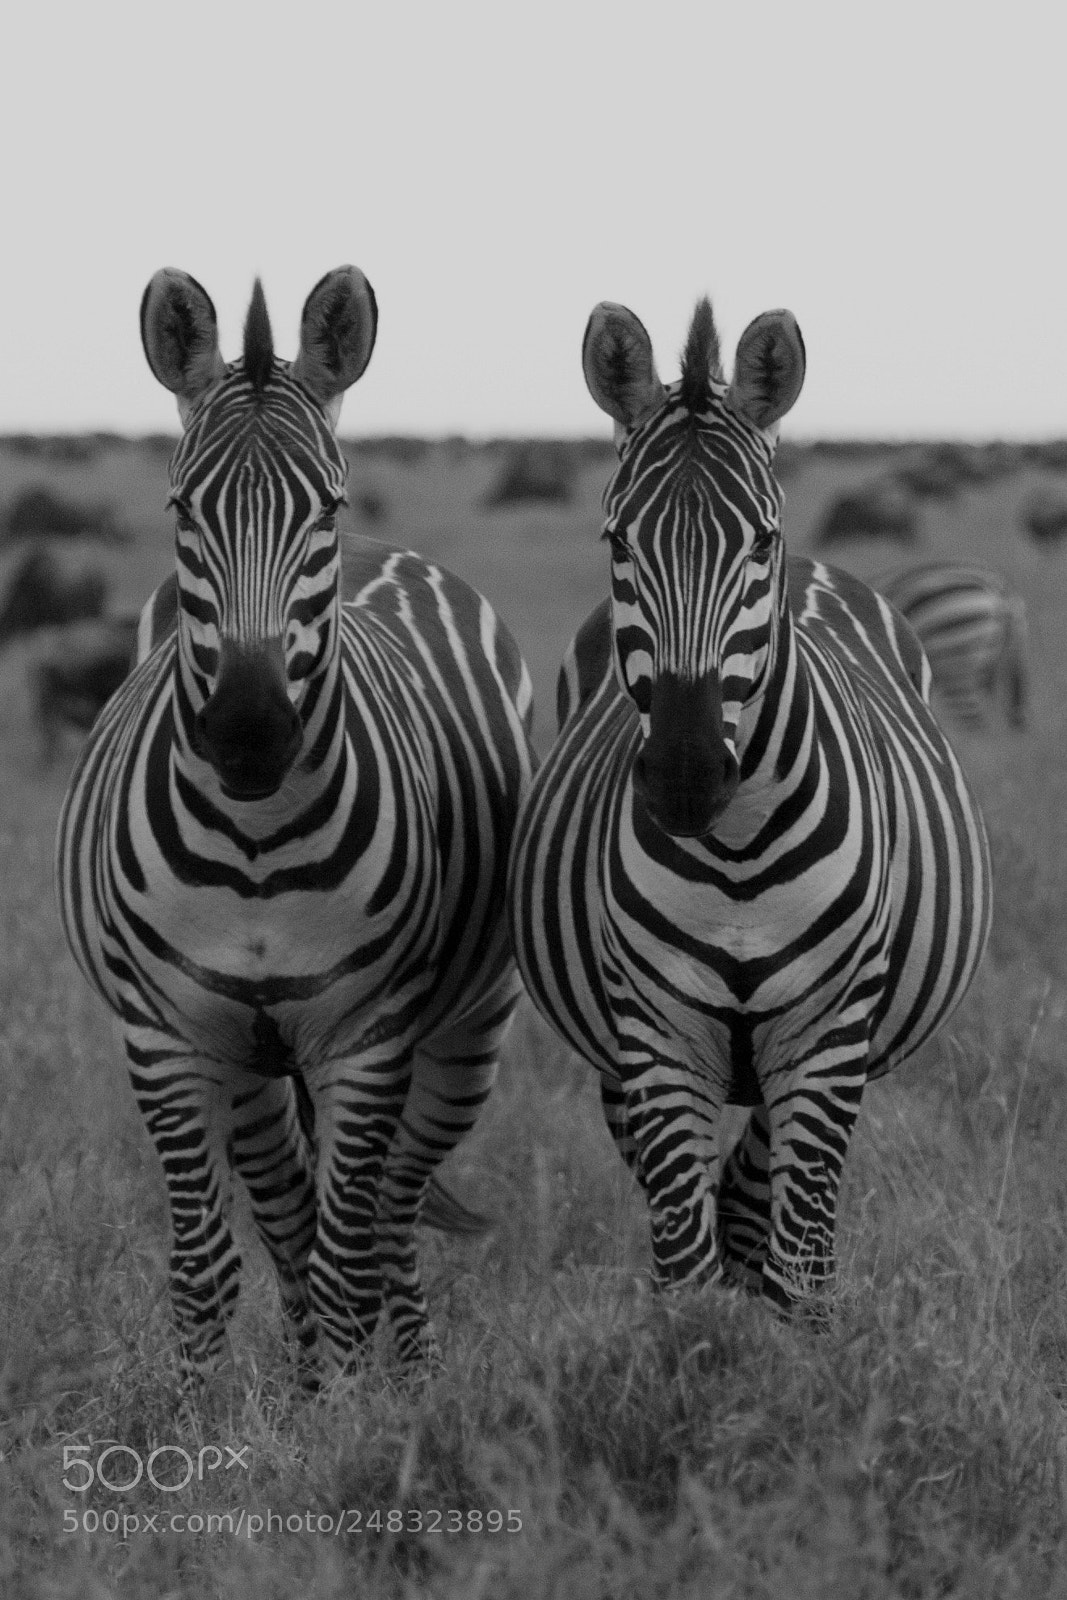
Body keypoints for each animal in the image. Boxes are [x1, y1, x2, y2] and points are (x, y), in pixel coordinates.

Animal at [57, 267, 535, 1382]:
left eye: (324, 502)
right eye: (182, 505)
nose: (248, 730)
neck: (255, 841)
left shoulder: (366, 1038)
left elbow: (347, 1255)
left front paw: (357, 1420)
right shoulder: (167, 1037)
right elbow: (206, 1270)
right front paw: (209, 1418)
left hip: (465, 1033)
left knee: (389, 1213)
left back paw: (410, 1378)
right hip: (249, 1062)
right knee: (285, 1213)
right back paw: (311, 1377)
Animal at [508, 296, 991, 1312]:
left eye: (758, 542)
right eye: (616, 541)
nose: (686, 776)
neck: (734, 851)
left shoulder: (826, 1038)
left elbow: (799, 1268)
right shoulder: (658, 1039)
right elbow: (683, 1275)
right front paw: (706, 1347)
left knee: (759, 1198)